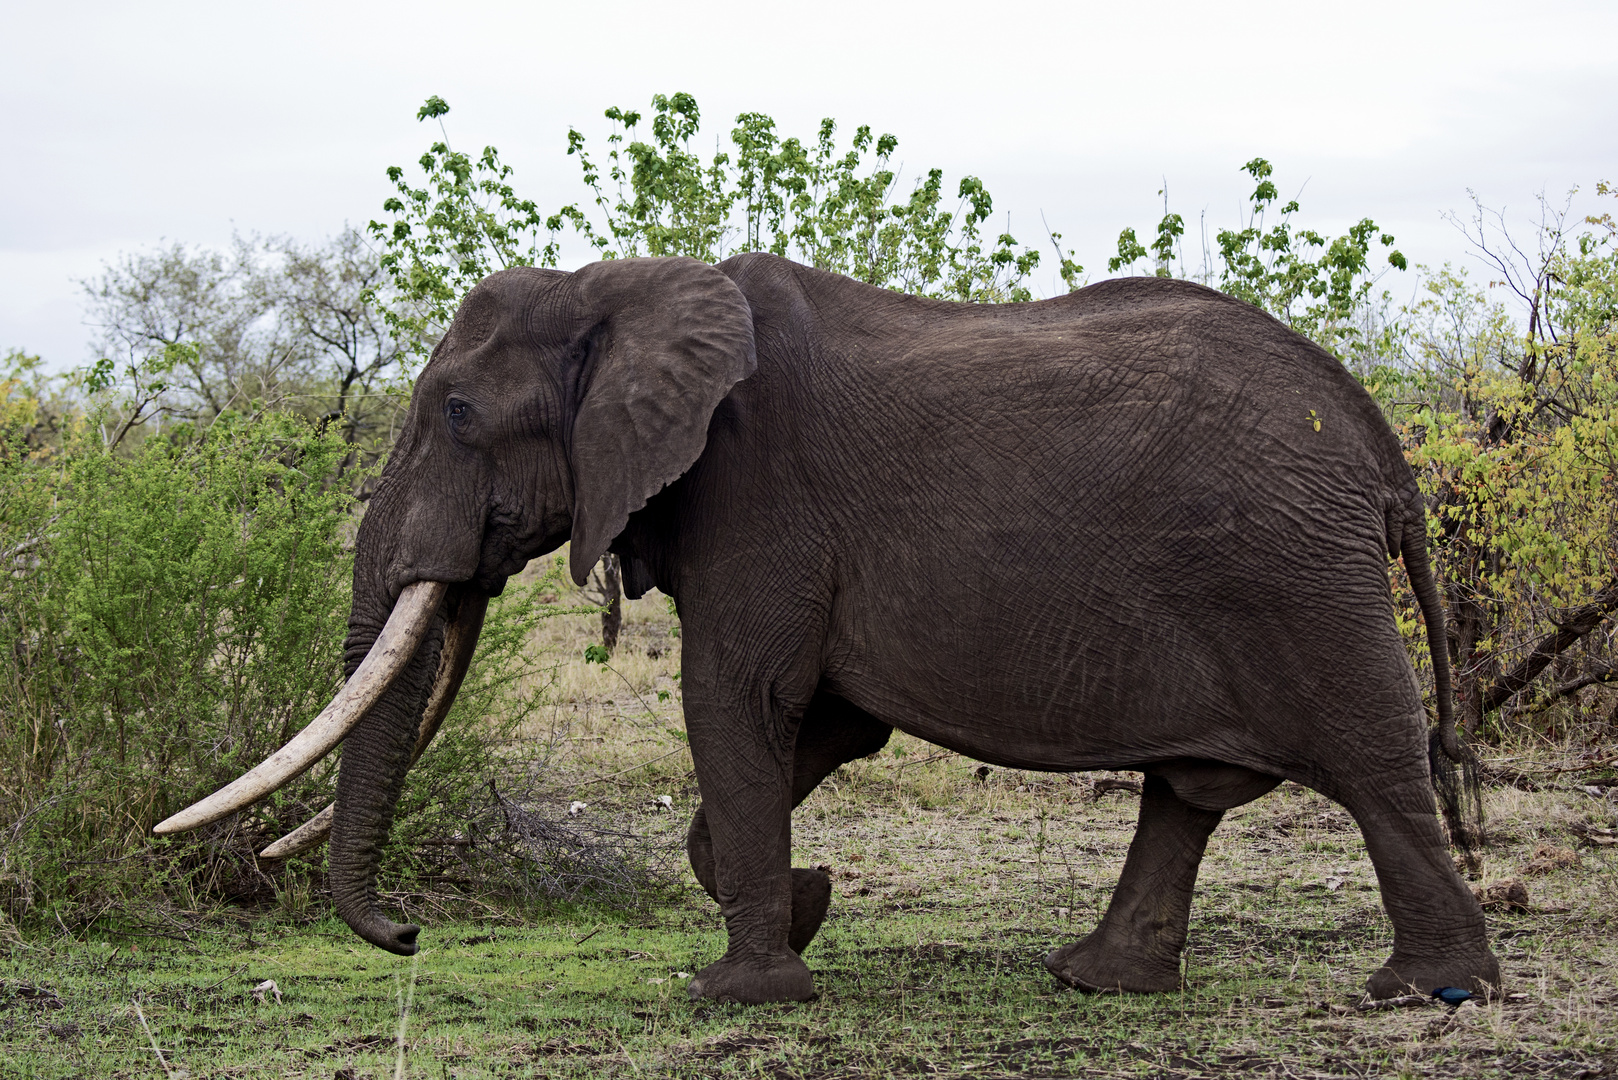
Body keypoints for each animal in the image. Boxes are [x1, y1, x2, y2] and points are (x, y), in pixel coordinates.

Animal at [157, 250, 1495, 1003]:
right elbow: (824, 729)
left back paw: (1419, 990)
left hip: (1294, 576)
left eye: (456, 412)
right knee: (1190, 790)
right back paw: (1094, 983)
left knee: (1370, 760)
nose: (408, 934)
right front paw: (807, 902)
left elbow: (734, 702)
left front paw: (737, 993)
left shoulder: (758, 497)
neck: (622, 291)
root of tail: (1382, 446)